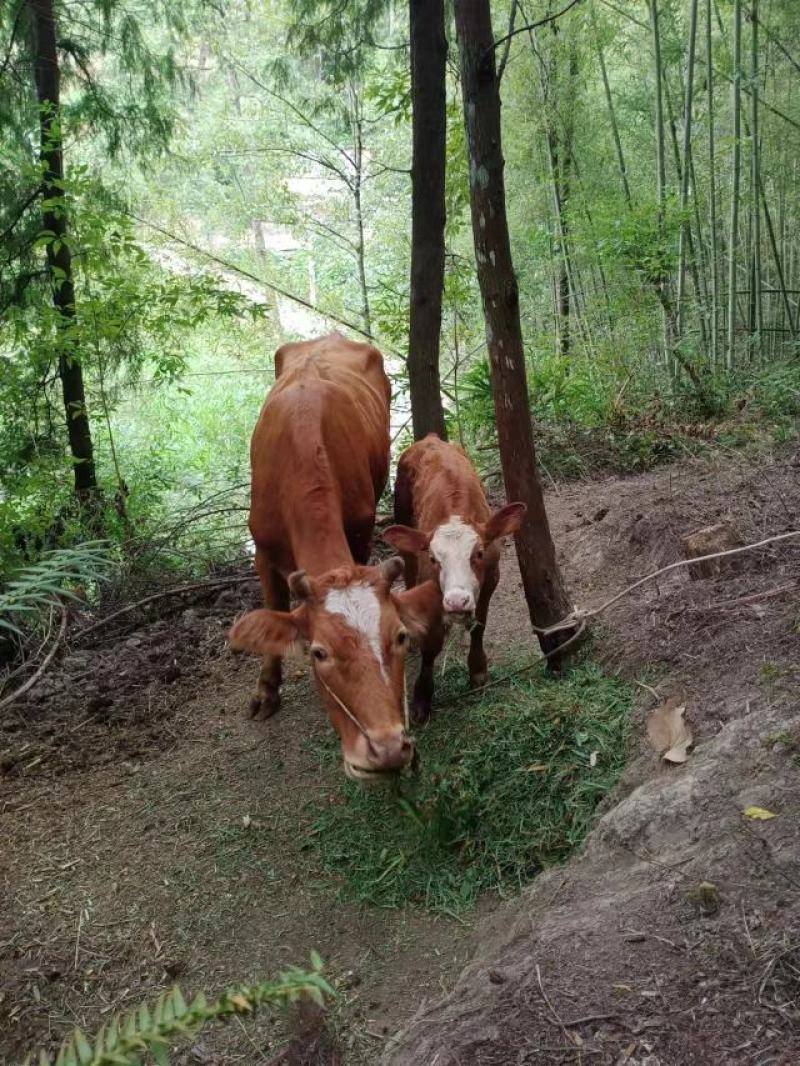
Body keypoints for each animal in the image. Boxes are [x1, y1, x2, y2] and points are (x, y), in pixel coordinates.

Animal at [228, 332, 439, 784]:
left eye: (399, 637)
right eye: (318, 653)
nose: (387, 749)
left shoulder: (358, 532)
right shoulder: (262, 548)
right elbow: (272, 607)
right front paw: (266, 689)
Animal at [381, 432, 526, 724]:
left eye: (479, 553)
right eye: (434, 559)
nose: (458, 601)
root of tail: (430, 438)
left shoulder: (492, 577)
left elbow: (479, 624)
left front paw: (478, 670)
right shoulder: (430, 582)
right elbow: (431, 644)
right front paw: (422, 698)